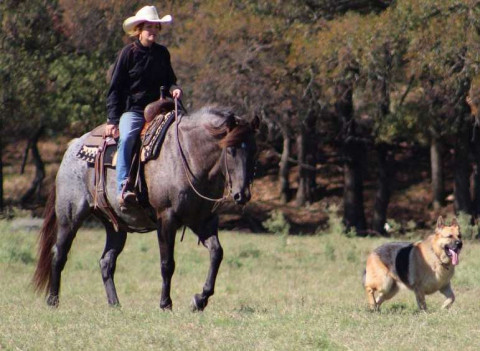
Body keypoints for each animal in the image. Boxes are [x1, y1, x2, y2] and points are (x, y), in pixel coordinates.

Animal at [33, 106, 258, 312]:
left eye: (253, 151)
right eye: (230, 150)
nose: (242, 195)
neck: (188, 156)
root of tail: (72, 148)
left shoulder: (203, 221)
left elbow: (216, 253)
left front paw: (199, 300)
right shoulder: (166, 219)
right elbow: (167, 263)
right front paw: (165, 303)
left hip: (115, 226)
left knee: (106, 262)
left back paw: (115, 304)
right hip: (70, 217)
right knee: (59, 254)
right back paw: (53, 301)